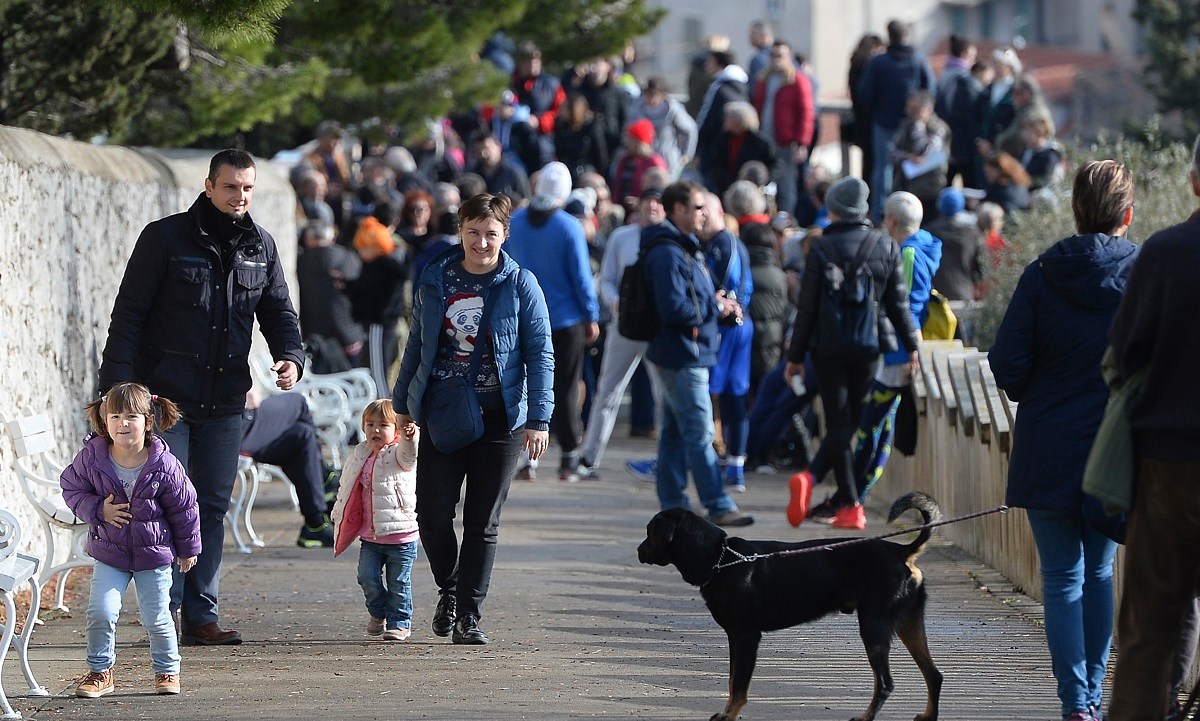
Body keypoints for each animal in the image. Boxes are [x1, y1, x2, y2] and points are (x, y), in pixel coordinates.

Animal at [638, 491, 945, 715]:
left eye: (650, 533)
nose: (639, 550)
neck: (721, 558)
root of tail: (902, 551)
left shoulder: (747, 636)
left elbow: (739, 688)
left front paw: (728, 716)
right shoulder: (734, 637)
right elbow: (732, 681)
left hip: (874, 626)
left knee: (885, 684)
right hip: (909, 624)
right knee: (934, 675)